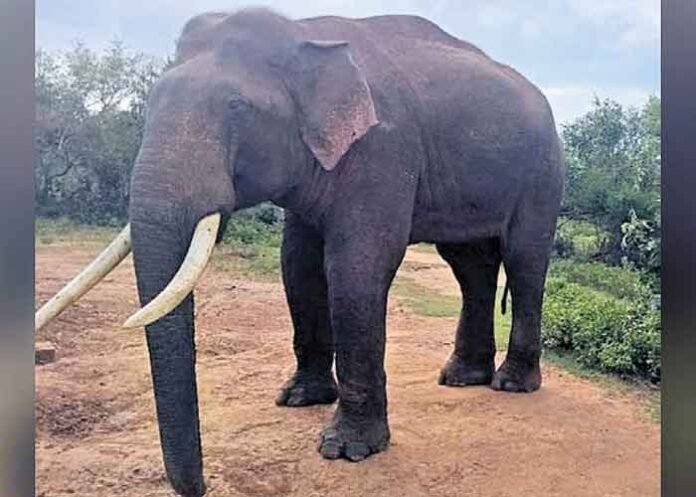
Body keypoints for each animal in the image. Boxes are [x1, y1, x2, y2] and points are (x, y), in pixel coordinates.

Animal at [36, 8, 564, 497]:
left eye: (236, 107)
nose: (203, 485)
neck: (304, 34)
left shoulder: (383, 147)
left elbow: (356, 267)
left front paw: (347, 450)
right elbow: (298, 265)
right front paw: (297, 399)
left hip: (543, 170)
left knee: (524, 260)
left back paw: (510, 384)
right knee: (470, 265)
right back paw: (461, 378)